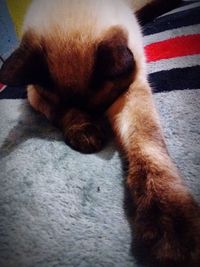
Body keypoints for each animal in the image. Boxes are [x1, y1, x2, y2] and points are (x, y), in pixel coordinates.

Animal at [0, 0, 200, 267]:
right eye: (91, 113)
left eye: (101, 108)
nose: (99, 122)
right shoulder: (36, 95)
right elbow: (65, 112)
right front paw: (86, 133)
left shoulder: (129, 92)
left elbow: (146, 144)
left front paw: (172, 233)